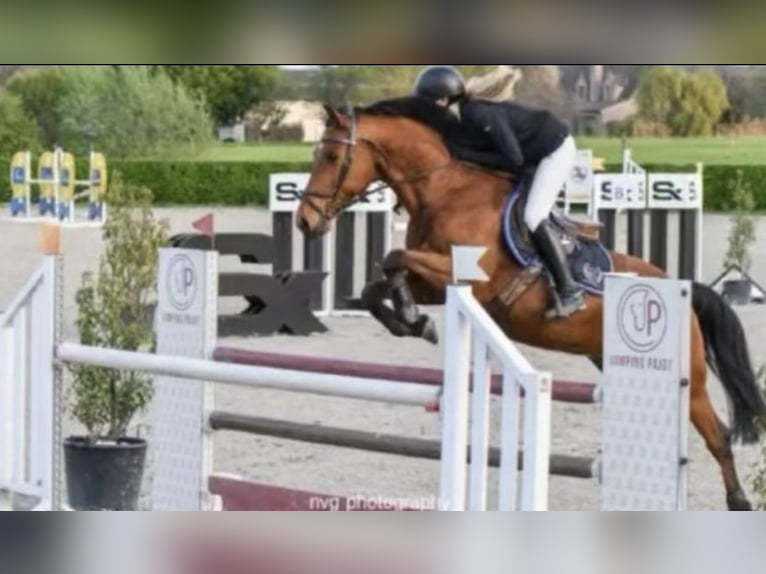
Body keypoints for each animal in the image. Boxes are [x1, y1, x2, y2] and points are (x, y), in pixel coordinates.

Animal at [295, 96, 766, 511]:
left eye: (332, 157)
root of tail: (683, 287)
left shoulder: (468, 278)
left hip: (693, 381)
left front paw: (413, 318)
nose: (305, 221)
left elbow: (394, 257)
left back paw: (739, 500)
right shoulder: (437, 283)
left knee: (718, 435)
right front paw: (412, 321)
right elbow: (379, 283)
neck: (444, 190)